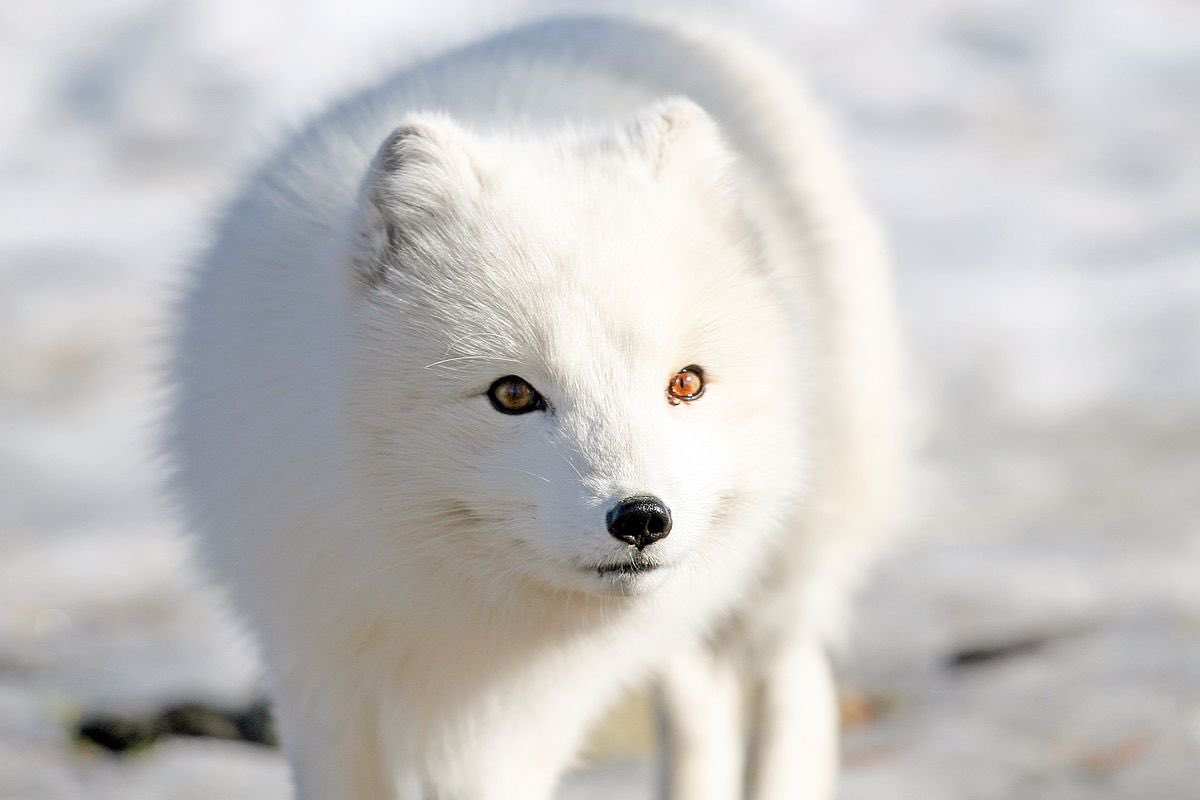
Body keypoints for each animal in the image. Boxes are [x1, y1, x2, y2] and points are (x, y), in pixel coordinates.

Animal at [167, 12, 905, 800]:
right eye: (513, 394)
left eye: (685, 383)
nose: (642, 518)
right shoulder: (320, 669)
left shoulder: (520, 722)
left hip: (785, 565)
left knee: (793, 682)